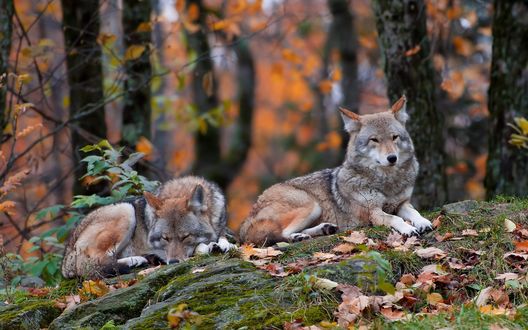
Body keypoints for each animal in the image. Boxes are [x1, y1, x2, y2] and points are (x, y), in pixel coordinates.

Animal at [61, 175, 233, 278]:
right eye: (165, 238)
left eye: (185, 236)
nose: (173, 263)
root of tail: (66, 259)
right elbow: (200, 248)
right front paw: (209, 246)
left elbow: (224, 237)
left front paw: (224, 244)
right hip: (125, 211)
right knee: (92, 266)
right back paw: (135, 261)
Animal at [239, 95, 434, 245]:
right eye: (374, 140)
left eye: (394, 137)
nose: (392, 158)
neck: (386, 183)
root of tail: (246, 220)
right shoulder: (373, 212)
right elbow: (396, 218)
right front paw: (408, 228)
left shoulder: (401, 203)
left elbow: (414, 212)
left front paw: (423, 222)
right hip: (311, 204)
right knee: (280, 235)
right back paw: (298, 237)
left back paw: (324, 229)